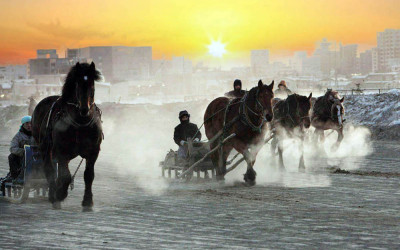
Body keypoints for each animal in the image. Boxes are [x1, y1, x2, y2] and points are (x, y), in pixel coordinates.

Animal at [32, 61, 103, 210]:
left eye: (92, 85)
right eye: (77, 84)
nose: (84, 109)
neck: (80, 123)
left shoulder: (93, 151)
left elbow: (89, 175)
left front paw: (88, 201)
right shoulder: (61, 150)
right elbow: (65, 176)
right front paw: (60, 193)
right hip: (45, 148)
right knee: (49, 169)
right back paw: (54, 195)